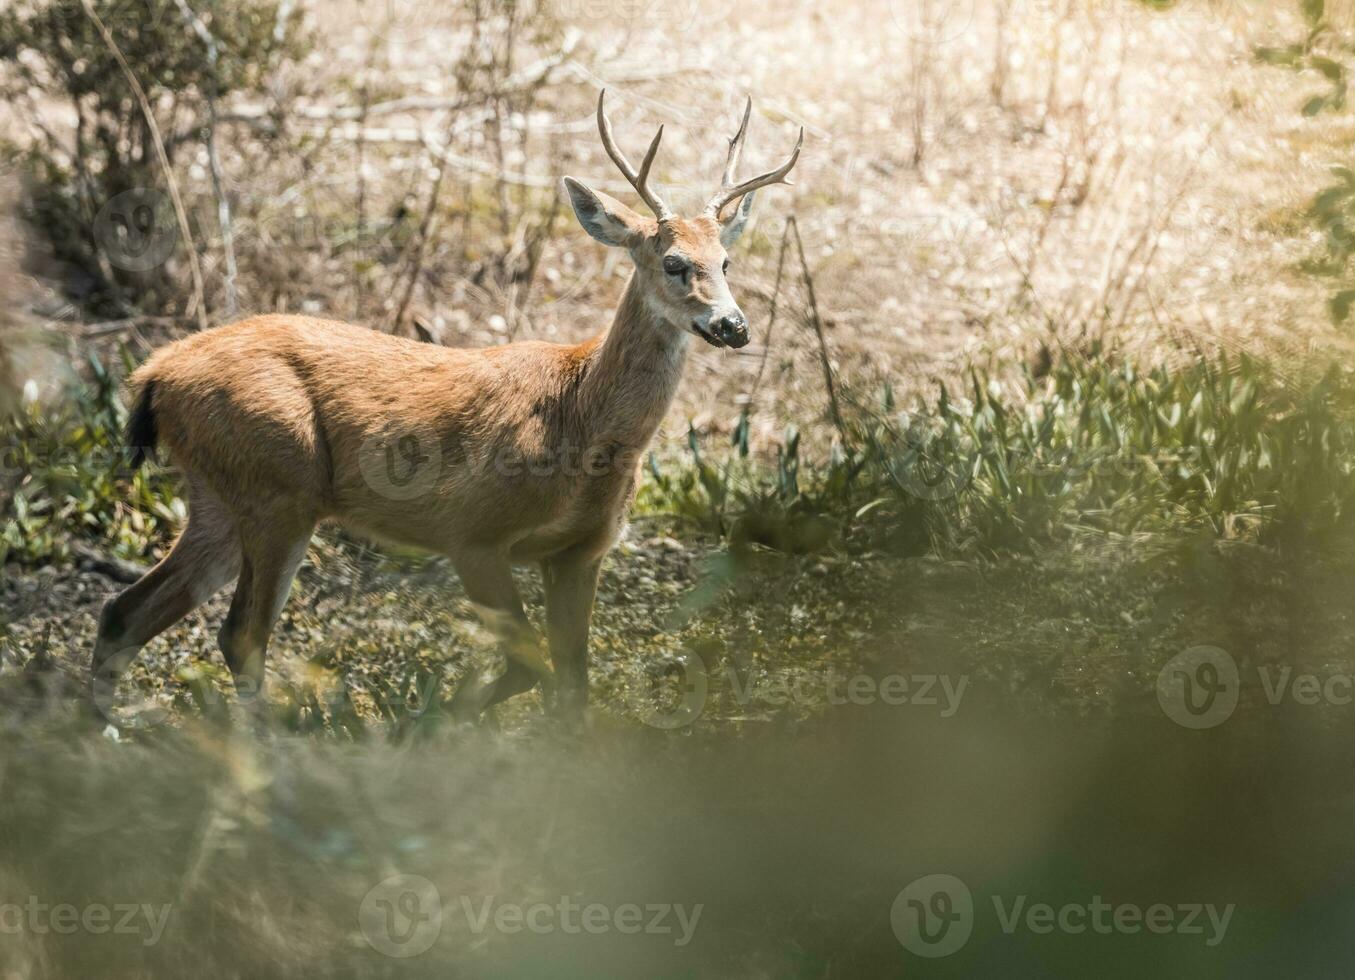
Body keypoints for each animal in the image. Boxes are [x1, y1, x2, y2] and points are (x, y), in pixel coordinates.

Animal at [92, 92, 802, 726]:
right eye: (675, 262)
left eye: (726, 261)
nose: (734, 325)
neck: (580, 422)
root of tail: (154, 373)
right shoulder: (473, 530)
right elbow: (527, 666)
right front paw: (425, 728)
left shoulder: (579, 553)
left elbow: (573, 687)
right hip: (277, 487)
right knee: (240, 635)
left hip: (219, 493)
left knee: (125, 611)